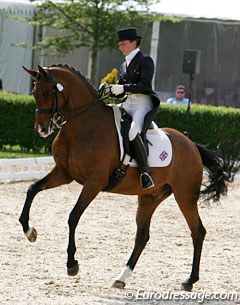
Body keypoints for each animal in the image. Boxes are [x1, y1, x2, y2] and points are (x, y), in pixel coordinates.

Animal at [20, 64, 238, 290]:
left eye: (47, 93)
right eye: (34, 92)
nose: (42, 129)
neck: (82, 126)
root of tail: (191, 144)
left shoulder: (94, 182)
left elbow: (73, 216)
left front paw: (72, 264)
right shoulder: (64, 173)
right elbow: (32, 189)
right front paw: (30, 231)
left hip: (185, 196)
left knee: (198, 232)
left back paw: (190, 280)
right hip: (150, 197)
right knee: (142, 236)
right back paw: (122, 277)